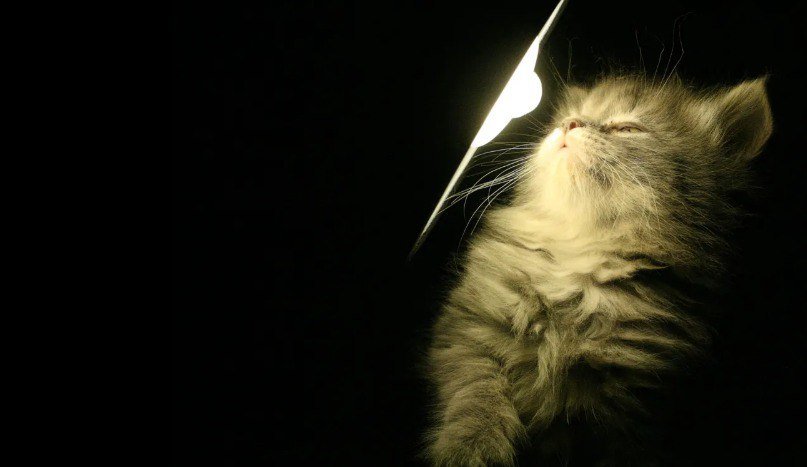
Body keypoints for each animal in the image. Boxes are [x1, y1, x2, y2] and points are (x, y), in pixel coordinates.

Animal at [425, 74, 772, 466]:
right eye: (573, 116)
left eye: (627, 128)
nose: (569, 124)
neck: (577, 262)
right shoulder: (469, 333)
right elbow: (476, 396)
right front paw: (471, 448)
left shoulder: (632, 407)